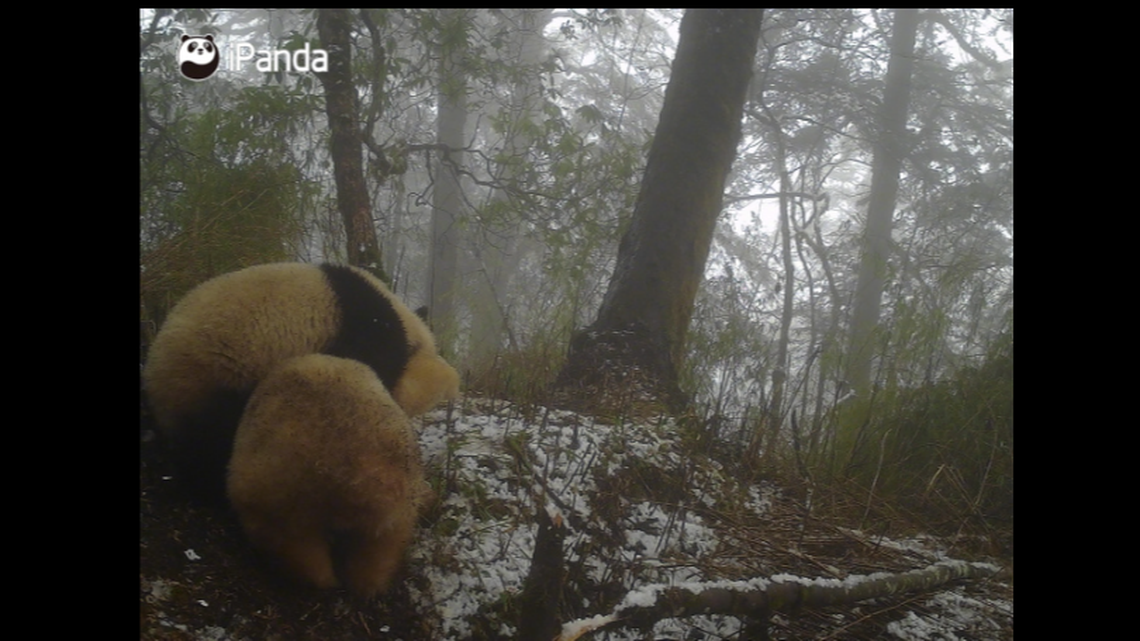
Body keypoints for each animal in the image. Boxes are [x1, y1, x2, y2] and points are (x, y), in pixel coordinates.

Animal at [228, 354, 434, 597]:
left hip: (282, 497)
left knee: (297, 547)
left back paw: (322, 580)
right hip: (399, 510)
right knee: (378, 552)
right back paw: (366, 586)